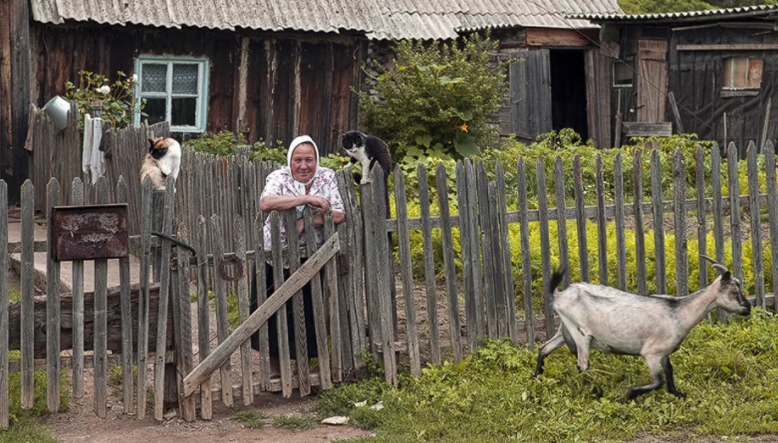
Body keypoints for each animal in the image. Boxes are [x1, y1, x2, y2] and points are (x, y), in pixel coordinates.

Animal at [532, 255, 744, 400]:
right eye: (734, 292)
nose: (747, 308)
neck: (678, 311)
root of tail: (559, 295)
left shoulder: (664, 352)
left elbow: (669, 371)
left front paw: (677, 393)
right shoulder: (651, 353)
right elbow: (658, 381)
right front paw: (630, 394)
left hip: (564, 330)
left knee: (544, 348)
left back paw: (536, 377)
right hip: (581, 334)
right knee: (582, 365)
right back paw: (597, 391)